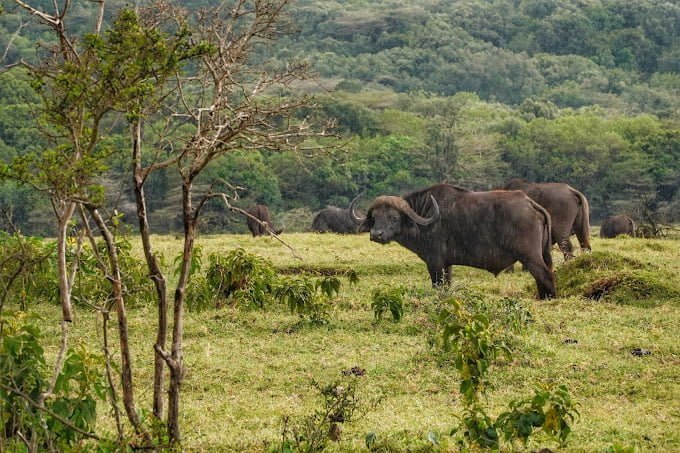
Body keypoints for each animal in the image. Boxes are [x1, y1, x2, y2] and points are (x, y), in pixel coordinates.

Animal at [350, 184, 556, 299]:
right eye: (375, 217)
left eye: (393, 217)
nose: (376, 234)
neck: (425, 218)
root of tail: (529, 203)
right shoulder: (447, 264)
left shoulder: (435, 262)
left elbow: (438, 285)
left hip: (530, 256)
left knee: (546, 276)